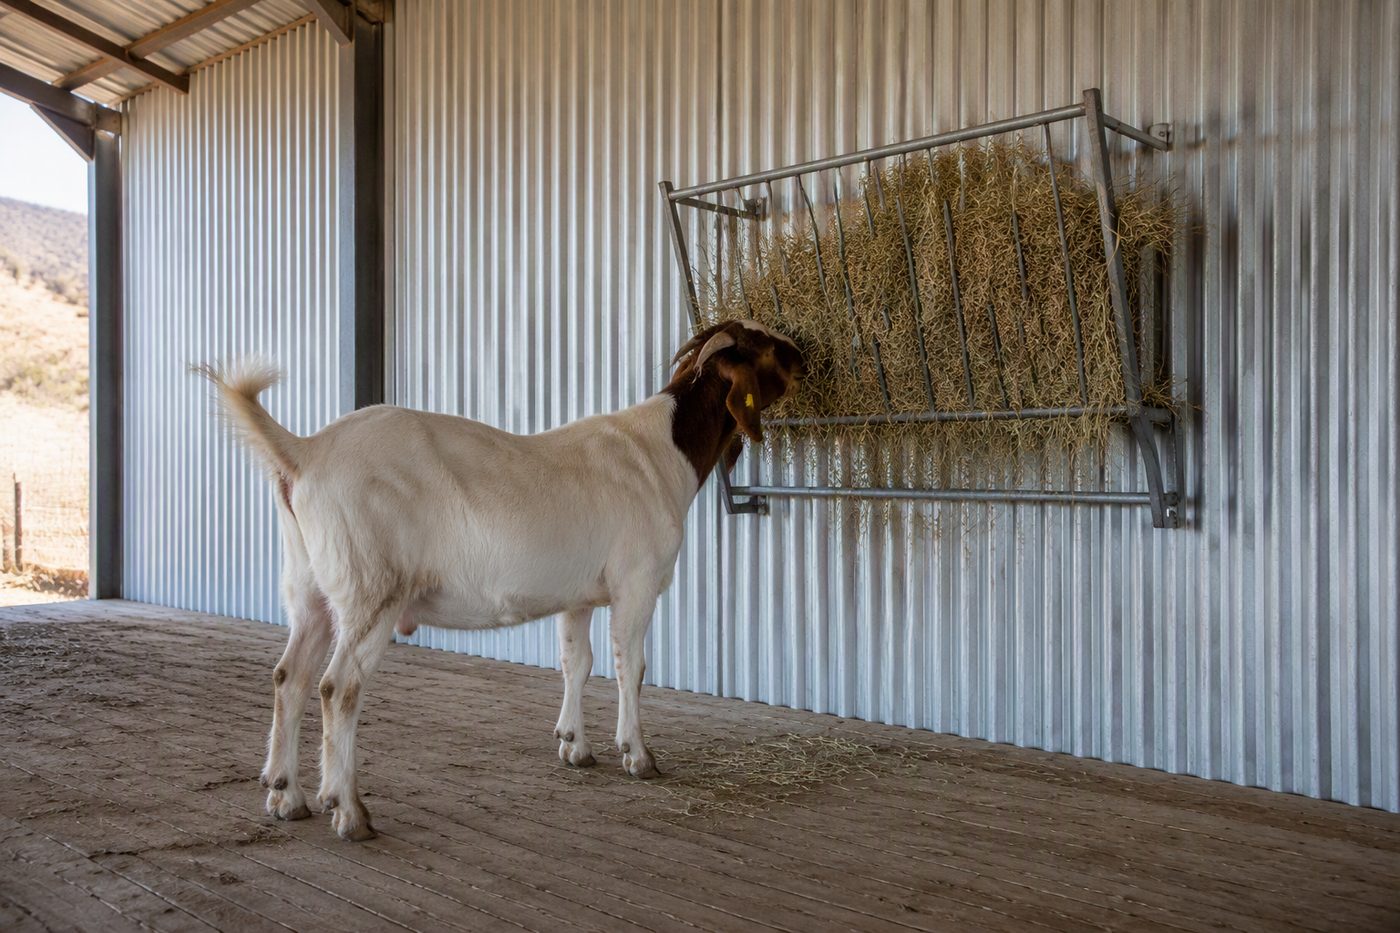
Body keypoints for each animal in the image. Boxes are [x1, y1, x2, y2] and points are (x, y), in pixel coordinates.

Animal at [198, 319, 804, 841]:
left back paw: (285, 795)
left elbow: (577, 661)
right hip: (371, 589)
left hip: (310, 589)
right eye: (761, 346)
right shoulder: (637, 581)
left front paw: (574, 746)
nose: (804, 353)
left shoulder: (580, 593)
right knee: (337, 686)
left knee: (290, 676)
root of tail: (306, 450)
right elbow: (630, 667)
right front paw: (638, 755)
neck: (662, 451)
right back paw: (347, 810)